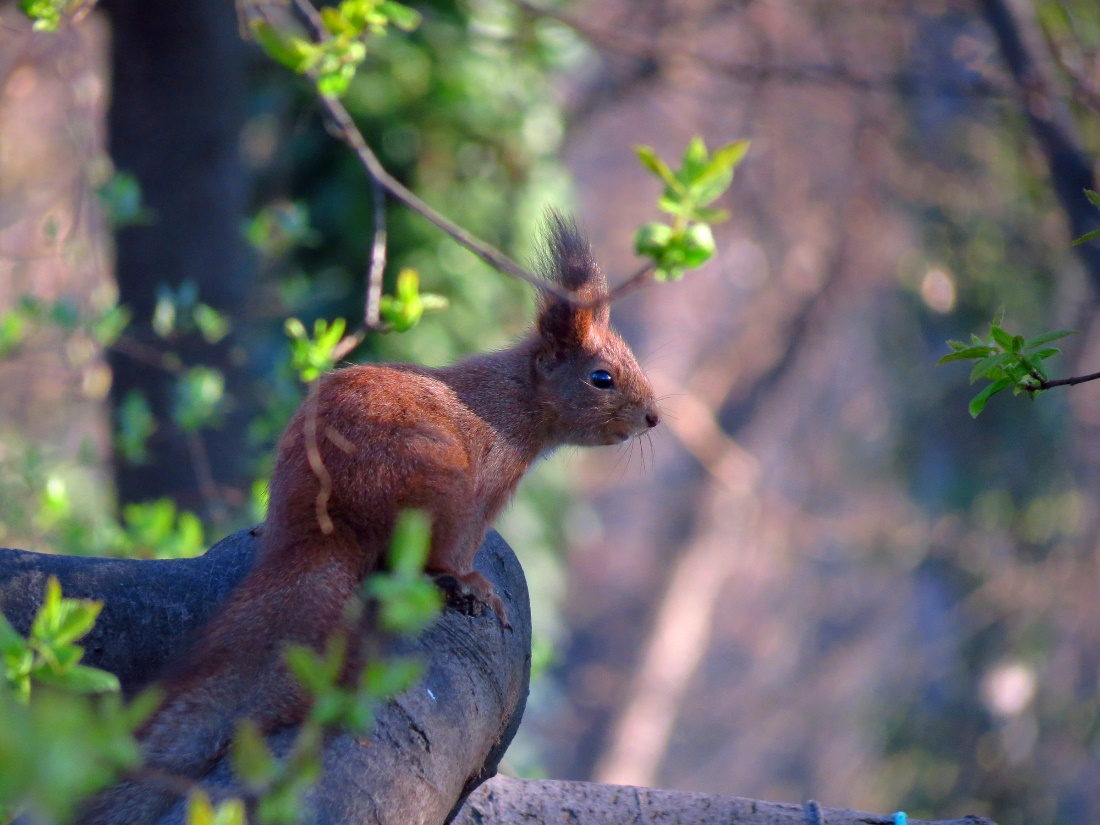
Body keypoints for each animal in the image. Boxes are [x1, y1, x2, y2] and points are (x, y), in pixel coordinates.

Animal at [81, 216, 660, 822]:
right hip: (440, 484)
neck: (513, 401)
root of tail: (331, 516)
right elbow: (462, 546)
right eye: (601, 379)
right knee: (435, 555)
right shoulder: (486, 486)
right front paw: (473, 579)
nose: (653, 417)